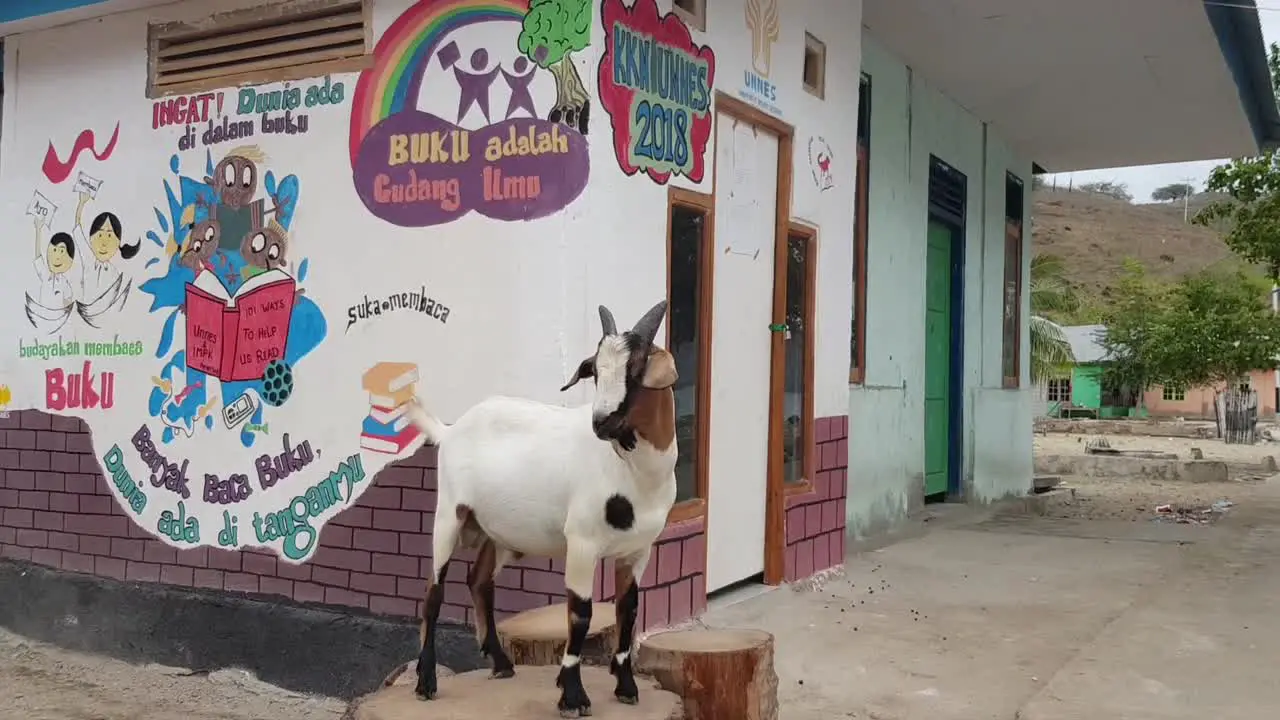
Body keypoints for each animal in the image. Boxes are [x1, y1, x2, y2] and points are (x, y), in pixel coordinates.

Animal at [409, 297, 680, 712]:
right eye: (595, 371)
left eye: (635, 369)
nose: (601, 422)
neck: (634, 472)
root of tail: (450, 430)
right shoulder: (582, 542)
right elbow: (581, 612)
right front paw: (573, 695)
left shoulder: (639, 550)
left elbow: (629, 609)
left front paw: (626, 686)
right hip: (449, 513)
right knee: (434, 591)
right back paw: (426, 682)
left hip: (498, 534)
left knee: (479, 580)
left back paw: (501, 662)